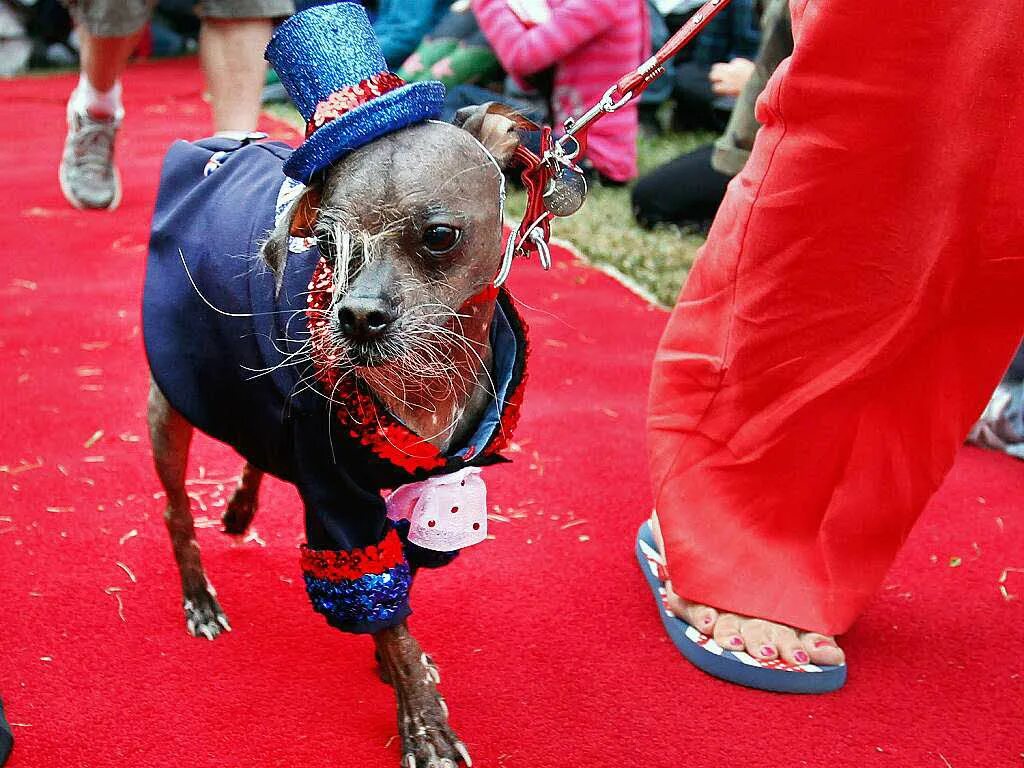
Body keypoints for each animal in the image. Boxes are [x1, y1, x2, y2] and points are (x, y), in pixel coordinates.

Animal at [145, 7, 536, 768]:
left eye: (438, 236)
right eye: (325, 246)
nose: (353, 317)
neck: (427, 382)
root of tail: (218, 143)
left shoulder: (420, 486)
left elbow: (396, 590)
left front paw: (394, 670)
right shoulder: (337, 494)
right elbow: (385, 612)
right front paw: (421, 718)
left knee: (257, 446)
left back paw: (240, 507)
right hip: (171, 407)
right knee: (177, 512)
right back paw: (198, 594)